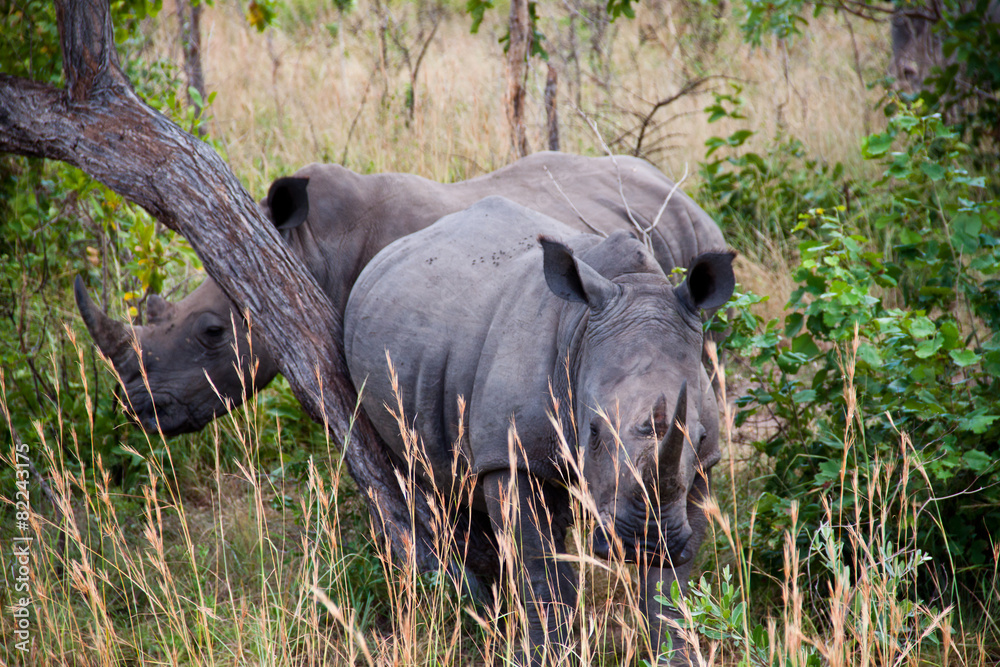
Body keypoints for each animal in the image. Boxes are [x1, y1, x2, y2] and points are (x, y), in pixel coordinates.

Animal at [344, 196, 735, 665]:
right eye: (594, 431)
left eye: (699, 435)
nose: (643, 541)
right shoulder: (511, 455)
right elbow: (535, 563)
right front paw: (545, 655)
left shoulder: (700, 467)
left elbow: (672, 580)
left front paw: (676, 656)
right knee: (422, 484)